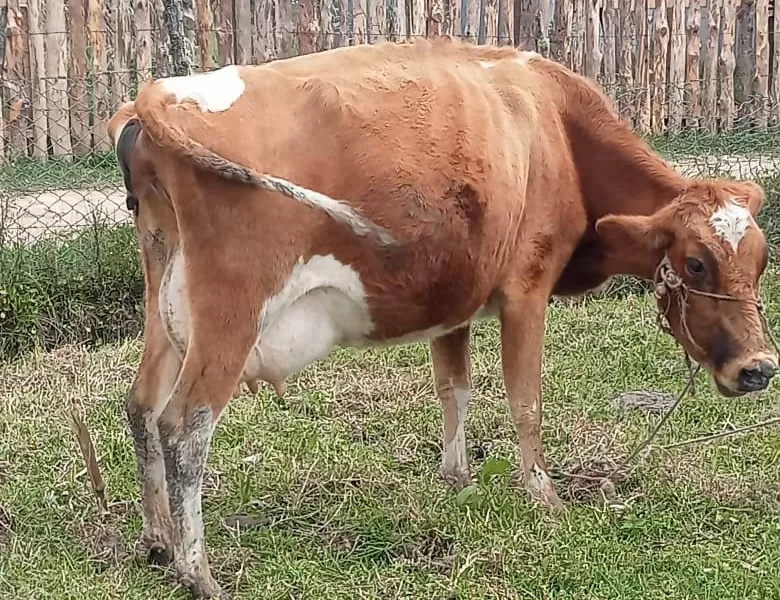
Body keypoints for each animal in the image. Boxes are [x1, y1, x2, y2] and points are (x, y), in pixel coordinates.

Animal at [106, 38, 776, 600]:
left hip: (166, 309)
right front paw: (543, 494)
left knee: (140, 405)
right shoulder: (526, 290)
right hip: (231, 314)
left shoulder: (458, 299)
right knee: (183, 426)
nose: (760, 368)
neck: (556, 127)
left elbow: (454, 387)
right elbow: (525, 398)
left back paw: (158, 540)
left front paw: (458, 479)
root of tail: (156, 95)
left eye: (763, 258)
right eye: (695, 263)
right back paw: (198, 573)